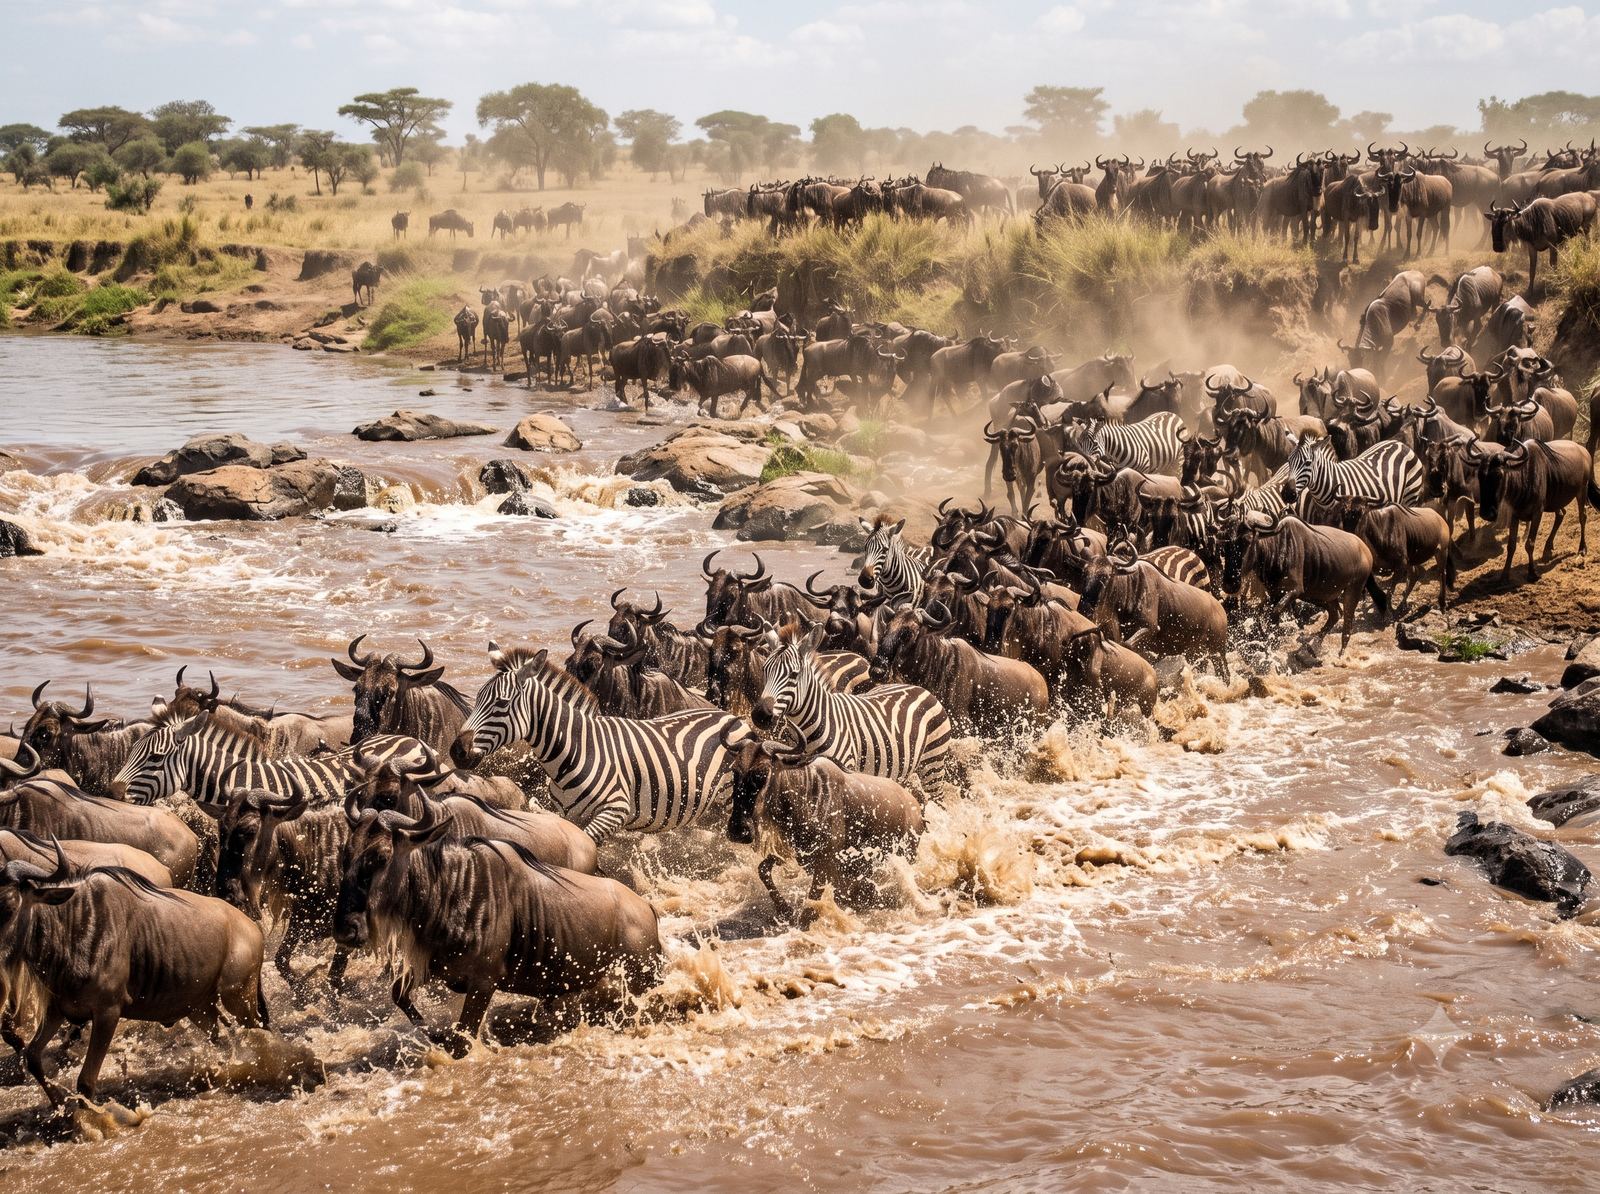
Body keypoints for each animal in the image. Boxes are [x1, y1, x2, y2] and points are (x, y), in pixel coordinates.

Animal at [454, 645, 751, 843]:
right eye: (477, 697)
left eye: (501, 703)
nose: (456, 751)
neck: (577, 750)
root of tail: (733, 718)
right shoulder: (566, 815)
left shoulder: (615, 810)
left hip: (726, 802)